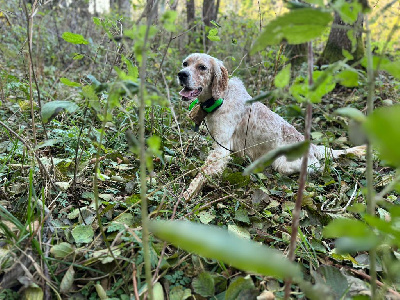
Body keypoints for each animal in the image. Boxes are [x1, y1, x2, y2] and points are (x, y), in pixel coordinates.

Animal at [178, 52, 366, 200]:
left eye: (202, 67)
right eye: (185, 63)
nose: (181, 74)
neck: (221, 98)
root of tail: (312, 146)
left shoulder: (220, 150)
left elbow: (200, 174)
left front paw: (185, 195)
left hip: (283, 164)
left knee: (318, 167)